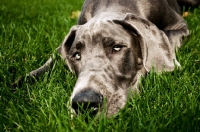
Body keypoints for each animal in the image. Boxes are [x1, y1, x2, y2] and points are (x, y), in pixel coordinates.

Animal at [12, 0, 200, 117]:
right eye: (77, 55)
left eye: (117, 47)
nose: (85, 103)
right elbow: (53, 58)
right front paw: (22, 82)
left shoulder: (180, 26)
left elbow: (167, 39)